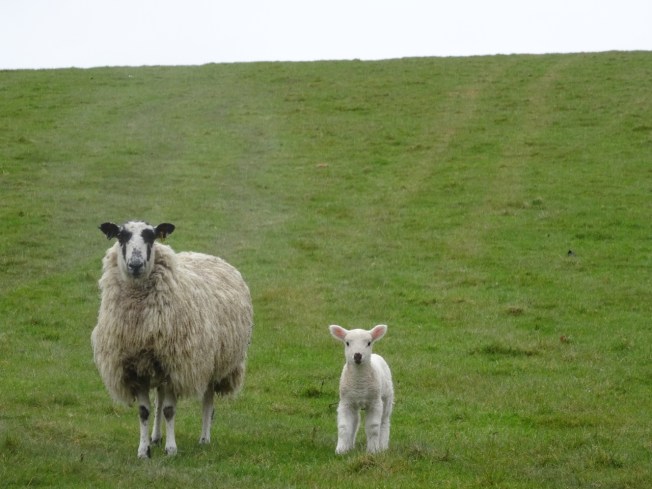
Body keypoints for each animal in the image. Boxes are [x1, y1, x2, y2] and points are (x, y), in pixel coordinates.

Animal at [91, 220, 253, 459]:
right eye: (121, 236)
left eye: (151, 236)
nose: (136, 264)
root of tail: (205, 255)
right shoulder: (136, 367)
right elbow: (144, 411)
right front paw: (143, 450)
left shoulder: (175, 365)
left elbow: (169, 410)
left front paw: (171, 449)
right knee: (158, 400)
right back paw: (156, 437)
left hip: (213, 362)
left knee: (207, 401)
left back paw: (204, 439)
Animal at [329, 324, 394, 454]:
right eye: (347, 343)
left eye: (369, 343)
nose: (357, 355)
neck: (359, 384)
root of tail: (376, 355)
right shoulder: (346, 402)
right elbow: (344, 427)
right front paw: (341, 450)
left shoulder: (375, 402)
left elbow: (373, 427)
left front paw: (373, 450)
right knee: (355, 422)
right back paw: (350, 446)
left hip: (387, 397)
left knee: (384, 421)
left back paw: (383, 446)